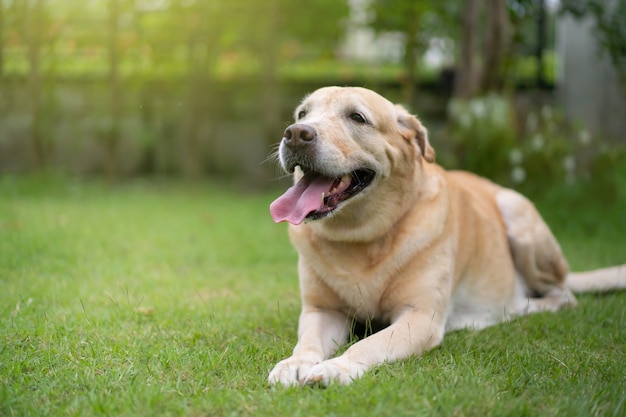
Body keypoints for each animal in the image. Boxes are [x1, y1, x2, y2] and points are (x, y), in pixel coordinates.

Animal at [264, 86, 624, 386]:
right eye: (302, 114)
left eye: (357, 117)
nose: (295, 134)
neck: (363, 238)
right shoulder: (321, 311)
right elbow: (308, 341)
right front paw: (296, 363)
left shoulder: (420, 317)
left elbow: (369, 344)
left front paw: (337, 367)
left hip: (518, 216)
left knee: (559, 297)